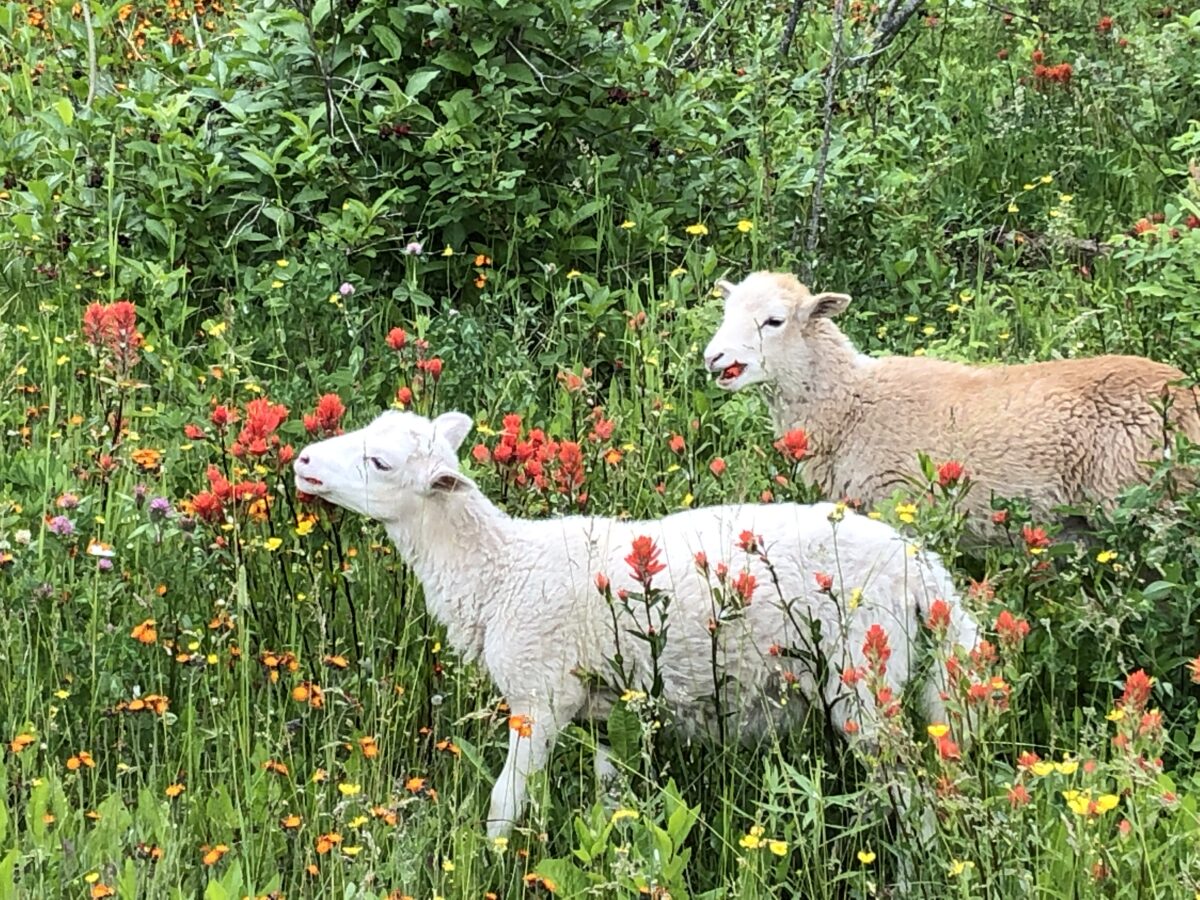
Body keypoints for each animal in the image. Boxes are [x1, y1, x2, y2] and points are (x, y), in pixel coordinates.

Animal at [295, 408, 979, 840]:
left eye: (380, 462)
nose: (302, 460)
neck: (500, 571)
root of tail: (926, 573)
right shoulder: (605, 708)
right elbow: (613, 800)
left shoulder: (540, 695)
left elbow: (504, 805)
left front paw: (491, 859)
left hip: (864, 679)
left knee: (913, 792)